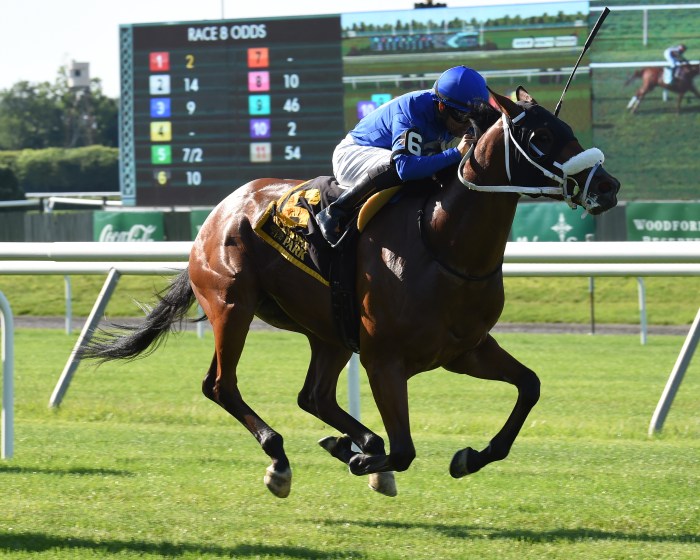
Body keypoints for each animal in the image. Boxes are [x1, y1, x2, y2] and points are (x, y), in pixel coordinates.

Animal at [81, 87, 620, 499]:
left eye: (567, 127)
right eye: (541, 136)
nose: (607, 185)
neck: (444, 244)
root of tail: (218, 212)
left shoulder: (464, 350)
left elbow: (529, 385)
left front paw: (469, 456)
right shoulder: (385, 360)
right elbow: (404, 449)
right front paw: (366, 461)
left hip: (329, 332)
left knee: (313, 396)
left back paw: (350, 443)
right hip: (232, 304)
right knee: (221, 385)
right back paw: (283, 459)